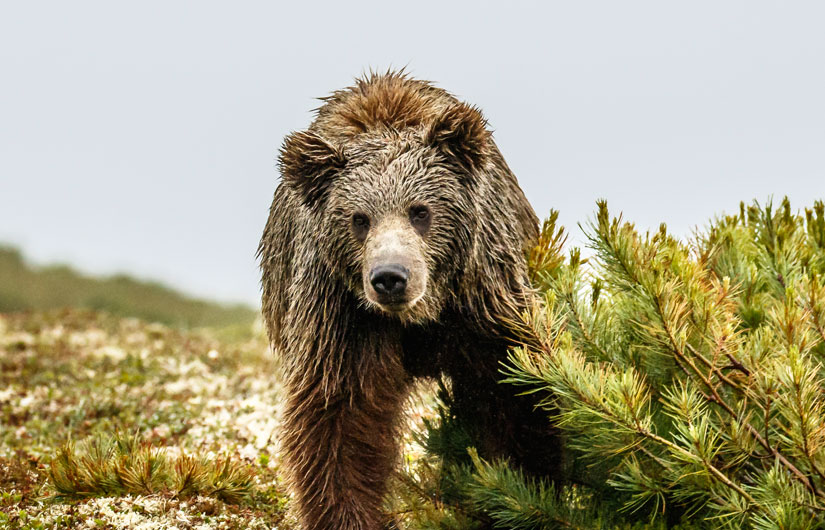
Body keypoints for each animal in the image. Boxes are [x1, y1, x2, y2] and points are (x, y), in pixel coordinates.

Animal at [260, 71, 560, 528]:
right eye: (359, 219)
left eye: (420, 211)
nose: (390, 277)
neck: (422, 317)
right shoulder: (344, 315)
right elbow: (342, 418)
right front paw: (351, 515)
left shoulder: (483, 301)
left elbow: (514, 392)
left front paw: (524, 489)